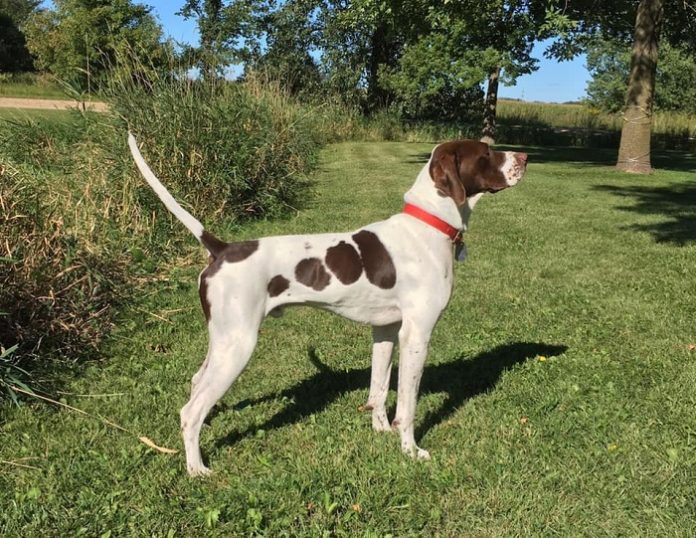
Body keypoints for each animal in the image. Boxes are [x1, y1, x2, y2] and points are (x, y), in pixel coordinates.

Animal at [128, 133, 528, 474]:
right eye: (486, 152)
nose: (524, 157)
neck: (428, 225)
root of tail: (222, 248)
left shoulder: (385, 331)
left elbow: (378, 390)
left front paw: (381, 430)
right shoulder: (416, 336)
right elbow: (408, 405)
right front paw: (410, 449)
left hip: (223, 340)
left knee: (197, 384)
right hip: (239, 346)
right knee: (190, 410)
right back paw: (197, 468)